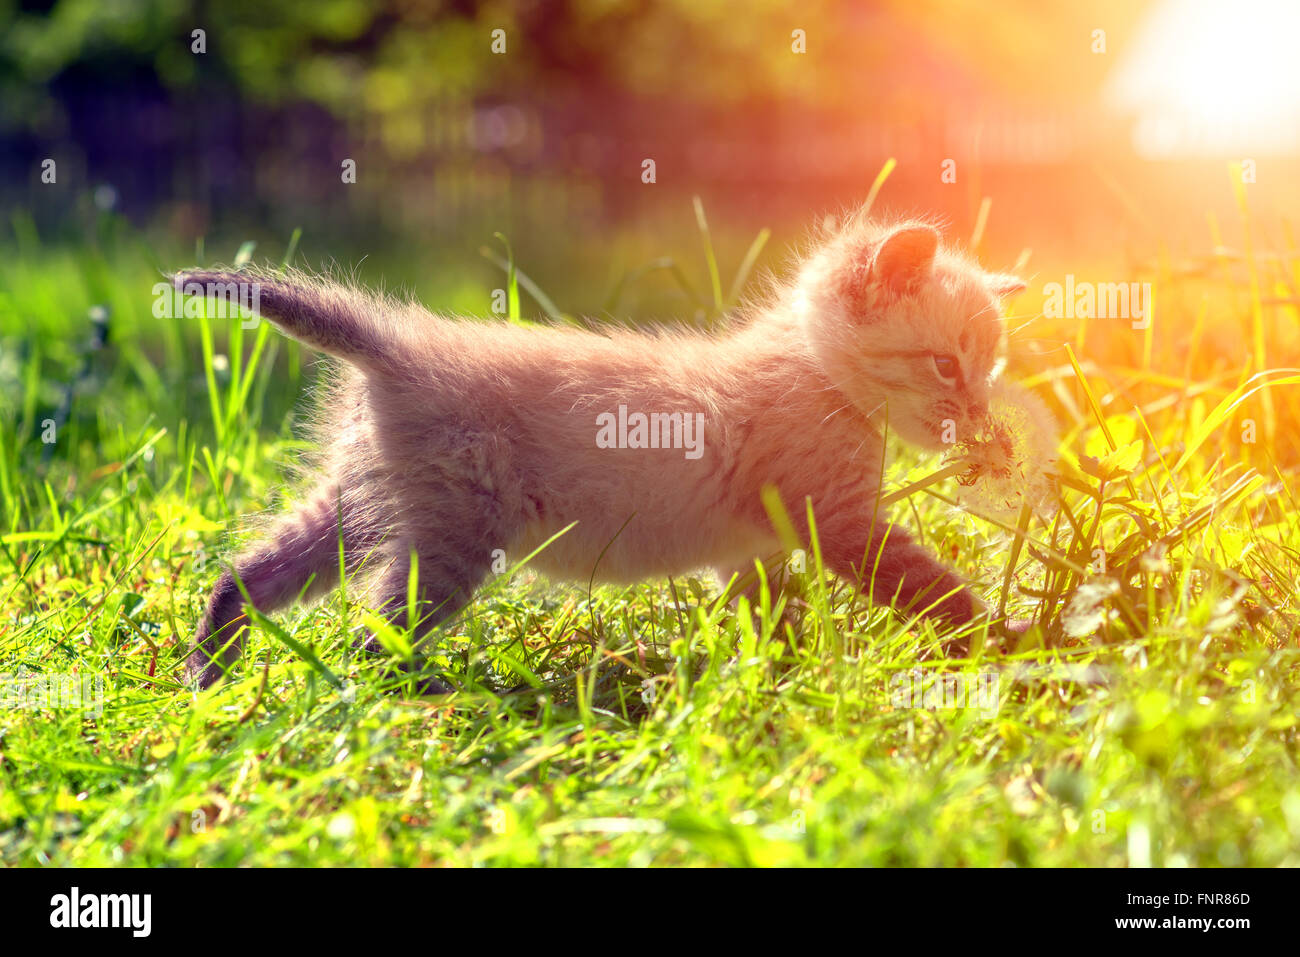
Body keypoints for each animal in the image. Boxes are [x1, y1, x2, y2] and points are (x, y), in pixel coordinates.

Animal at [178, 210, 1024, 686]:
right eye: (947, 365)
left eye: (988, 369)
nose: (980, 416)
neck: (815, 368)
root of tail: (401, 344)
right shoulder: (839, 522)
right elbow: (932, 588)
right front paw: (1005, 639)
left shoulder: (754, 552)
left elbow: (772, 623)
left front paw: (780, 681)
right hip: (452, 541)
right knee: (370, 638)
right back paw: (406, 702)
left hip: (362, 507)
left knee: (247, 573)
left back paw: (207, 673)